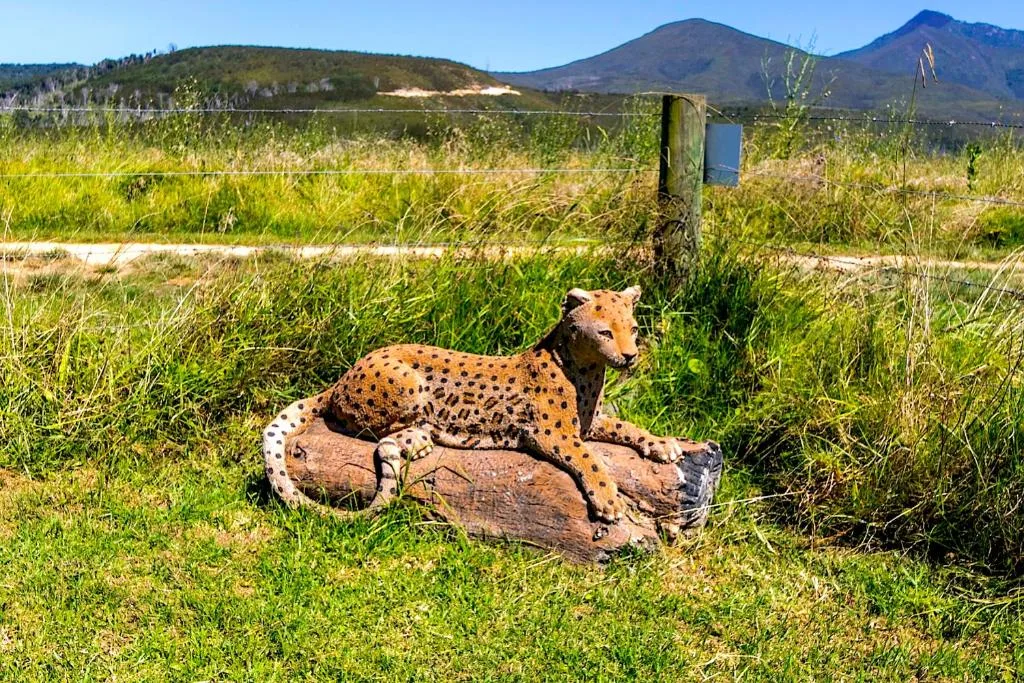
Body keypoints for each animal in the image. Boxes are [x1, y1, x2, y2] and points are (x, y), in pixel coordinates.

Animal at [262, 285, 686, 523]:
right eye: (605, 332)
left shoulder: (588, 423)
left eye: (633, 329)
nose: (630, 356)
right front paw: (609, 499)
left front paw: (661, 444)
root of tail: (343, 375)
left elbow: (626, 426)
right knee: (369, 428)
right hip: (409, 384)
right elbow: (590, 459)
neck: (585, 365)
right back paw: (420, 437)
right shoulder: (554, 435)